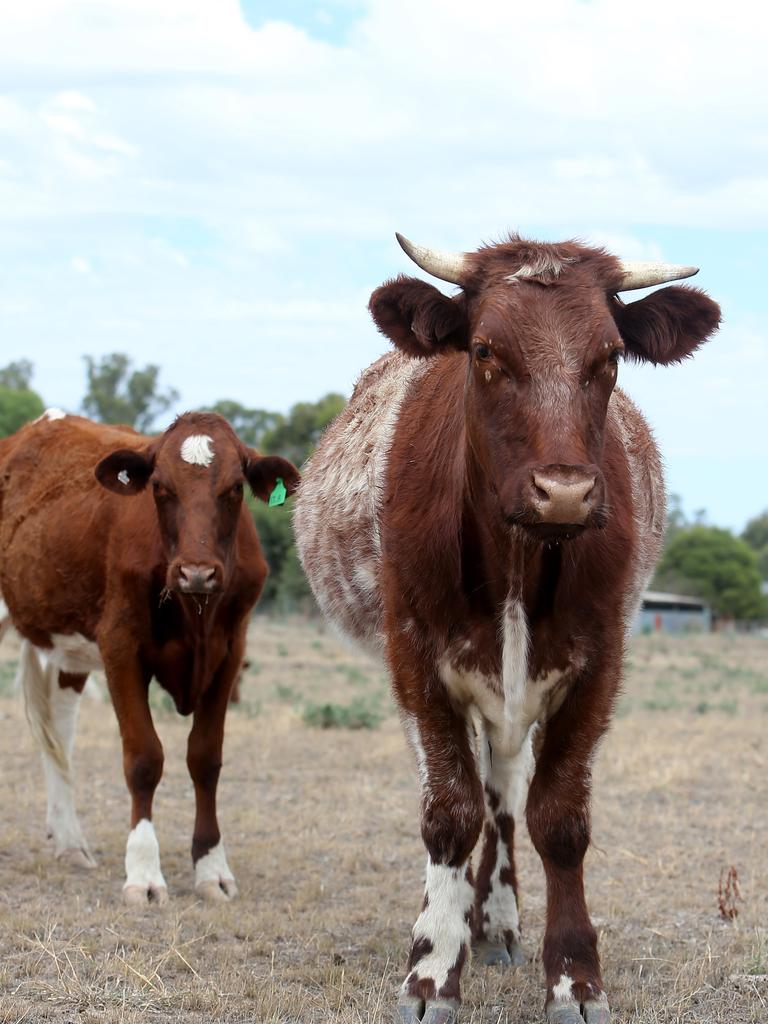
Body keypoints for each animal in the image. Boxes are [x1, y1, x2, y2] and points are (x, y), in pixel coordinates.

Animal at [0, 407, 301, 905]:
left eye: (234, 487)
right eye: (159, 486)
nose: (196, 572)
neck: (195, 611)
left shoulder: (230, 652)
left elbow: (205, 758)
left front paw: (211, 868)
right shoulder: (120, 647)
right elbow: (144, 759)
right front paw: (143, 872)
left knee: (59, 731)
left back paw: (70, 842)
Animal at [294, 234, 720, 1024]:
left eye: (610, 354)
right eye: (486, 350)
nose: (565, 492)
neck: (521, 554)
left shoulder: (598, 666)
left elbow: (557, 818)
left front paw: (575, 979)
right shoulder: (416, 664)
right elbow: (449, 814)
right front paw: (432, 968)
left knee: (504, 796)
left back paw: (494, 920)